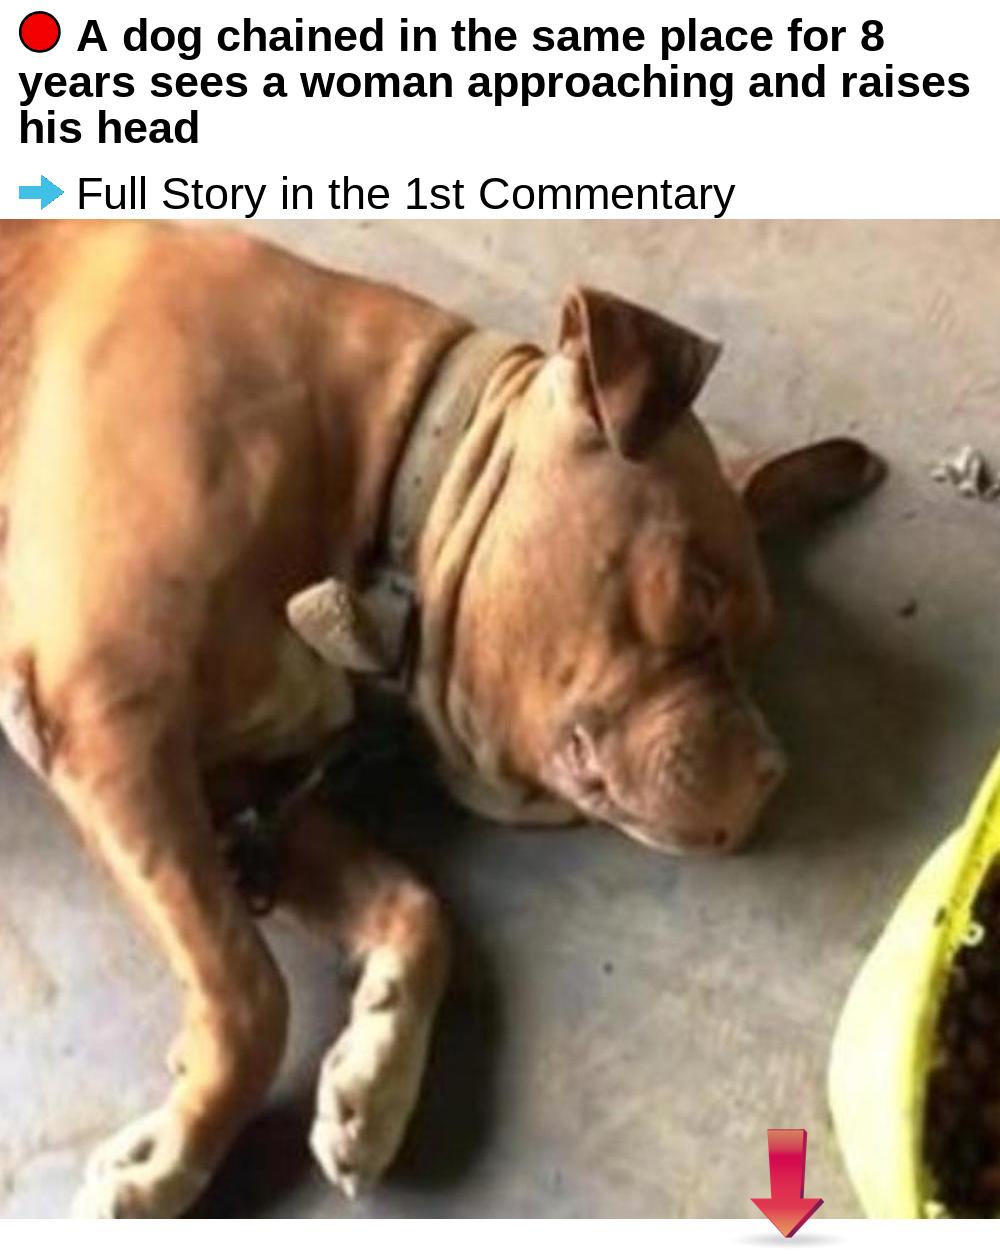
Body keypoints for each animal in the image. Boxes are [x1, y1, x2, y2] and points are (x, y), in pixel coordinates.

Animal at [0, 221, 884, 1216]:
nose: (774, 767)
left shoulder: (243, 795)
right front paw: (175, 1151)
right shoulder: (109, 712)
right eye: (696, 595)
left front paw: (375, 1075)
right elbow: (248, 986)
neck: (379, 472)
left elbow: (415, 906)